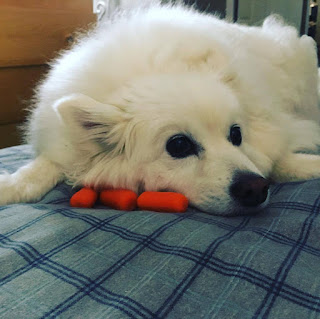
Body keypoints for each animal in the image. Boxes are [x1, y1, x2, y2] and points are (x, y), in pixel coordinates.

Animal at [0, 2, 320, 215]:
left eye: (236, 135)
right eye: (178, 145)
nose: (255, 188)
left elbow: (279, 163)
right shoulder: (61, 145)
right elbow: (38, 172)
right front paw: (9, 187)